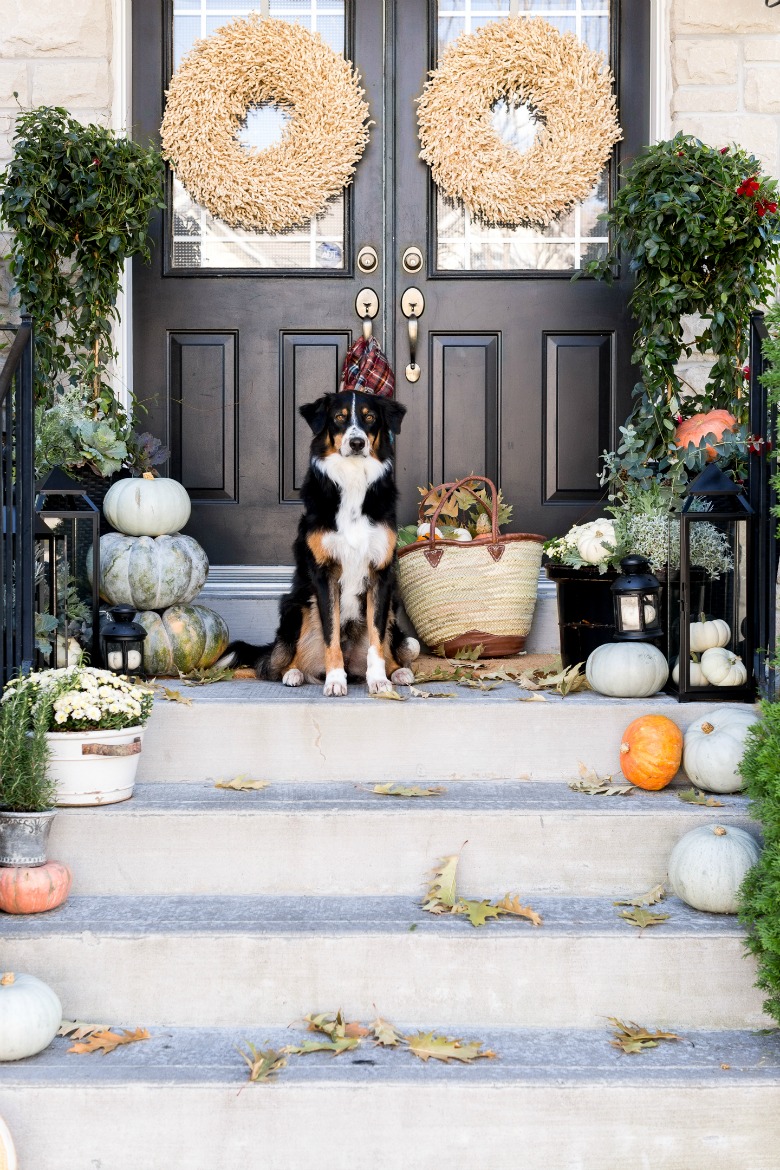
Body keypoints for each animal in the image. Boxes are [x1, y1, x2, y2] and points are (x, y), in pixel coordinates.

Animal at [224, 388, 420, 692]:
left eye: (370, 418)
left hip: (393, 615)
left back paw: (397, 672)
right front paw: (335, 680)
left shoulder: (381, 575)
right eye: (339, 417)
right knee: (275, 664)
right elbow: (331, 635)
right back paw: (294, 673)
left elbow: (377, 639)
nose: (356, 442)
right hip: (295, 606)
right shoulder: (323, 573)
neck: (353, 480)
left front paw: (378, 680)